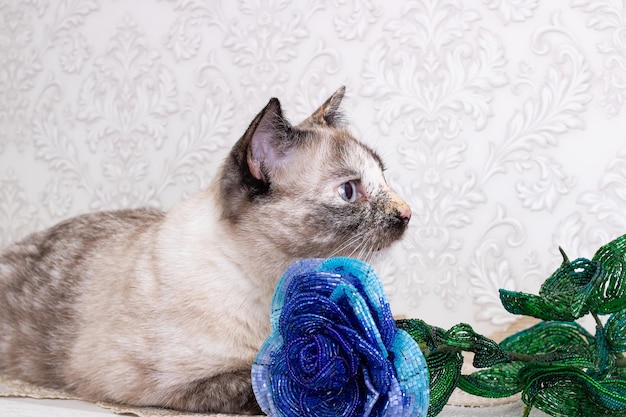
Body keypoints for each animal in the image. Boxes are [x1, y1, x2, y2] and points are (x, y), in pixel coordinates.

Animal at [0, 85, 410, 412]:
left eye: (384, 178)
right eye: (349, 191)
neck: (277, 285)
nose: (407, 213)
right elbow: (263, 383)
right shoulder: (158, 382)